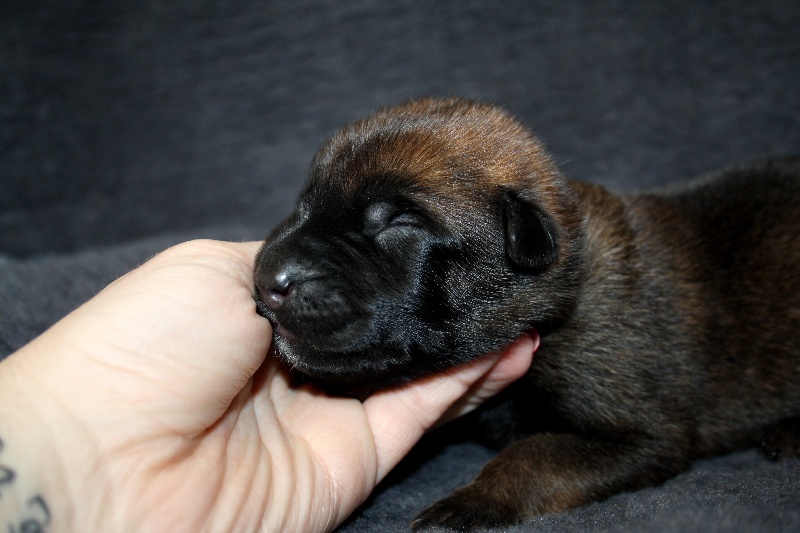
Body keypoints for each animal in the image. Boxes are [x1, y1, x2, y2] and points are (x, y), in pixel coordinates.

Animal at [253, 98, 800, 530]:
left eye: (402, 221)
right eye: (306, 205)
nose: (264, 280)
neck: (566, 279)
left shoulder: (642, 433)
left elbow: (535, 455)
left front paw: (469, 502)